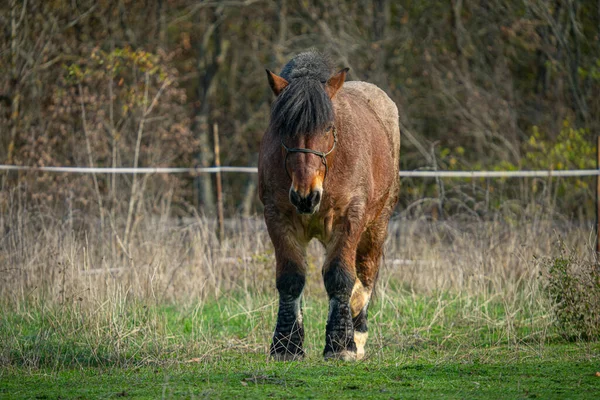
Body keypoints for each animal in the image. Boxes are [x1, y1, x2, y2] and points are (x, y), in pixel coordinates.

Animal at [260, 51, 400, 360]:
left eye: (328, 127)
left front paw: (340, 344)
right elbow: (291, 277)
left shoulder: (349, 220)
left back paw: (357, 334)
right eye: (283, 128)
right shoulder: (277, 217)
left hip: (376, 226)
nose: (306, 195)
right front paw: (286, 345)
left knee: (366, 273)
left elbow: (340, 277)